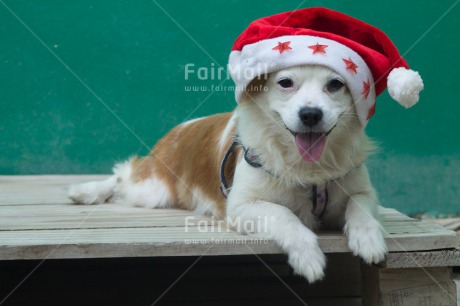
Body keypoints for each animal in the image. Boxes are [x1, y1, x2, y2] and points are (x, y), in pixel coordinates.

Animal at [68, 7, 424, 284]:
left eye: (336, 84)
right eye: (285, 83)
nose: (310, 114)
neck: (306, 167)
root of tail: (177, 130)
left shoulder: (362, 191)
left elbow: (359, 209)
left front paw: (369, 239)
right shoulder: (242, 205)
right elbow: (285, 215)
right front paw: (308, 256)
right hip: (152, 190)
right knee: (122, 175)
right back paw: (86, 192)